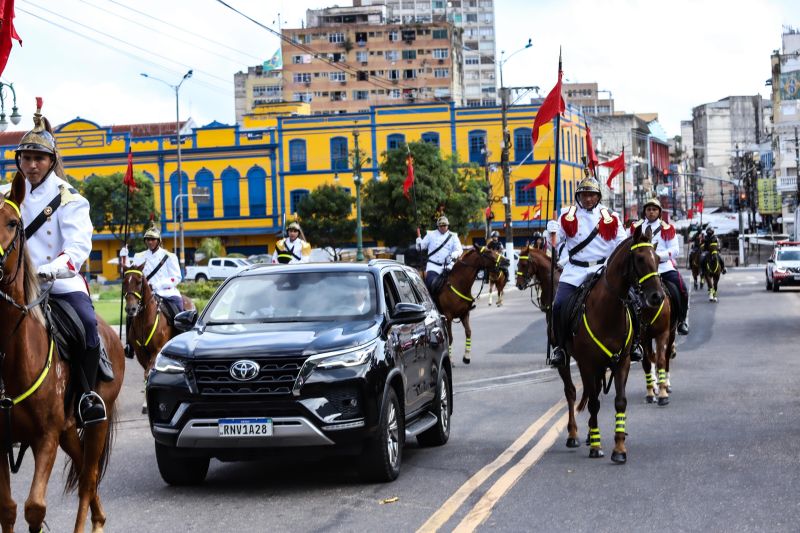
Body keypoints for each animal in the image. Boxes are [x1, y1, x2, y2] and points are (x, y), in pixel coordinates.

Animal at [0, 176, 124, 532]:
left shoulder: (46, 436)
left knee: (88, 478)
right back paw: (100, 518)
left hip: (96, 421)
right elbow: (8, 509)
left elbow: (35, 508)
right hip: (69, 429)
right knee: (84, 469)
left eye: (12, 222)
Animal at [552, 224, 664, 462]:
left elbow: (619, 401)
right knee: (571, 392)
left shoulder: (622, 362)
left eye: (658, 258)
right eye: (640, 259)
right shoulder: (587, 364)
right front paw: (596, 446)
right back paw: (574, 435)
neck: (608, 311)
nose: (657, 296)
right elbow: (593, 402)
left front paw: (619, 448)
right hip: (566, 362)